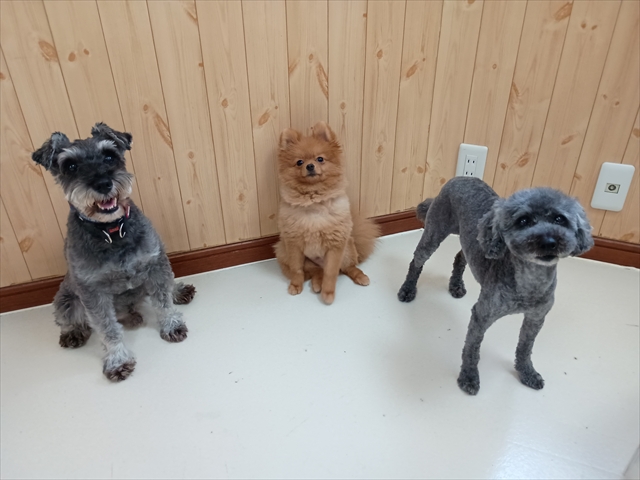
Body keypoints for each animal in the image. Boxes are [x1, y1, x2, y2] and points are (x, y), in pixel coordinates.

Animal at [32, 123, 196, 381]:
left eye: (109, 156)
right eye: (70, 165)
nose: (102, 184)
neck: (112, 230)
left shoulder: (155, 264)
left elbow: (163, 300)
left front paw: (171, 324)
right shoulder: (92, 292)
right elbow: (108, 329)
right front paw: (117, 360)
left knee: (166, 287)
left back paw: (178, 291)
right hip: (66, 301)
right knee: (70, 319)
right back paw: (73, 332)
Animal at [274, 121, 380, 305]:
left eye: (320, 159)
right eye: (299, 162)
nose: (310, 166)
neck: (314, 201)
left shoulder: (335, 245)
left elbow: (331, 273)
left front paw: (328, 294)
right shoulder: (293, 244)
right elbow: (296, 269)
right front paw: (296, 285)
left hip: (347, 250)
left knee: (348, 268)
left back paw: (359, 277)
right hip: (287, 252)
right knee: (317, 272)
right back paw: (317, 284)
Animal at [398, 177, 593, 394]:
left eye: (560, 219)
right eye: (523, 220)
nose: (548, 241)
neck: (529, 281)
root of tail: (462, 177)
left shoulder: (536, 318)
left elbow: (525, 348)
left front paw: (527, 373)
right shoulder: (481, 316)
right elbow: (472, 349)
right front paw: (469, 377)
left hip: (468, 241)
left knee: (460, 257)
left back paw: (456, 285)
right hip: (435, 231)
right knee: (417, 261)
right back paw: (408, 289)